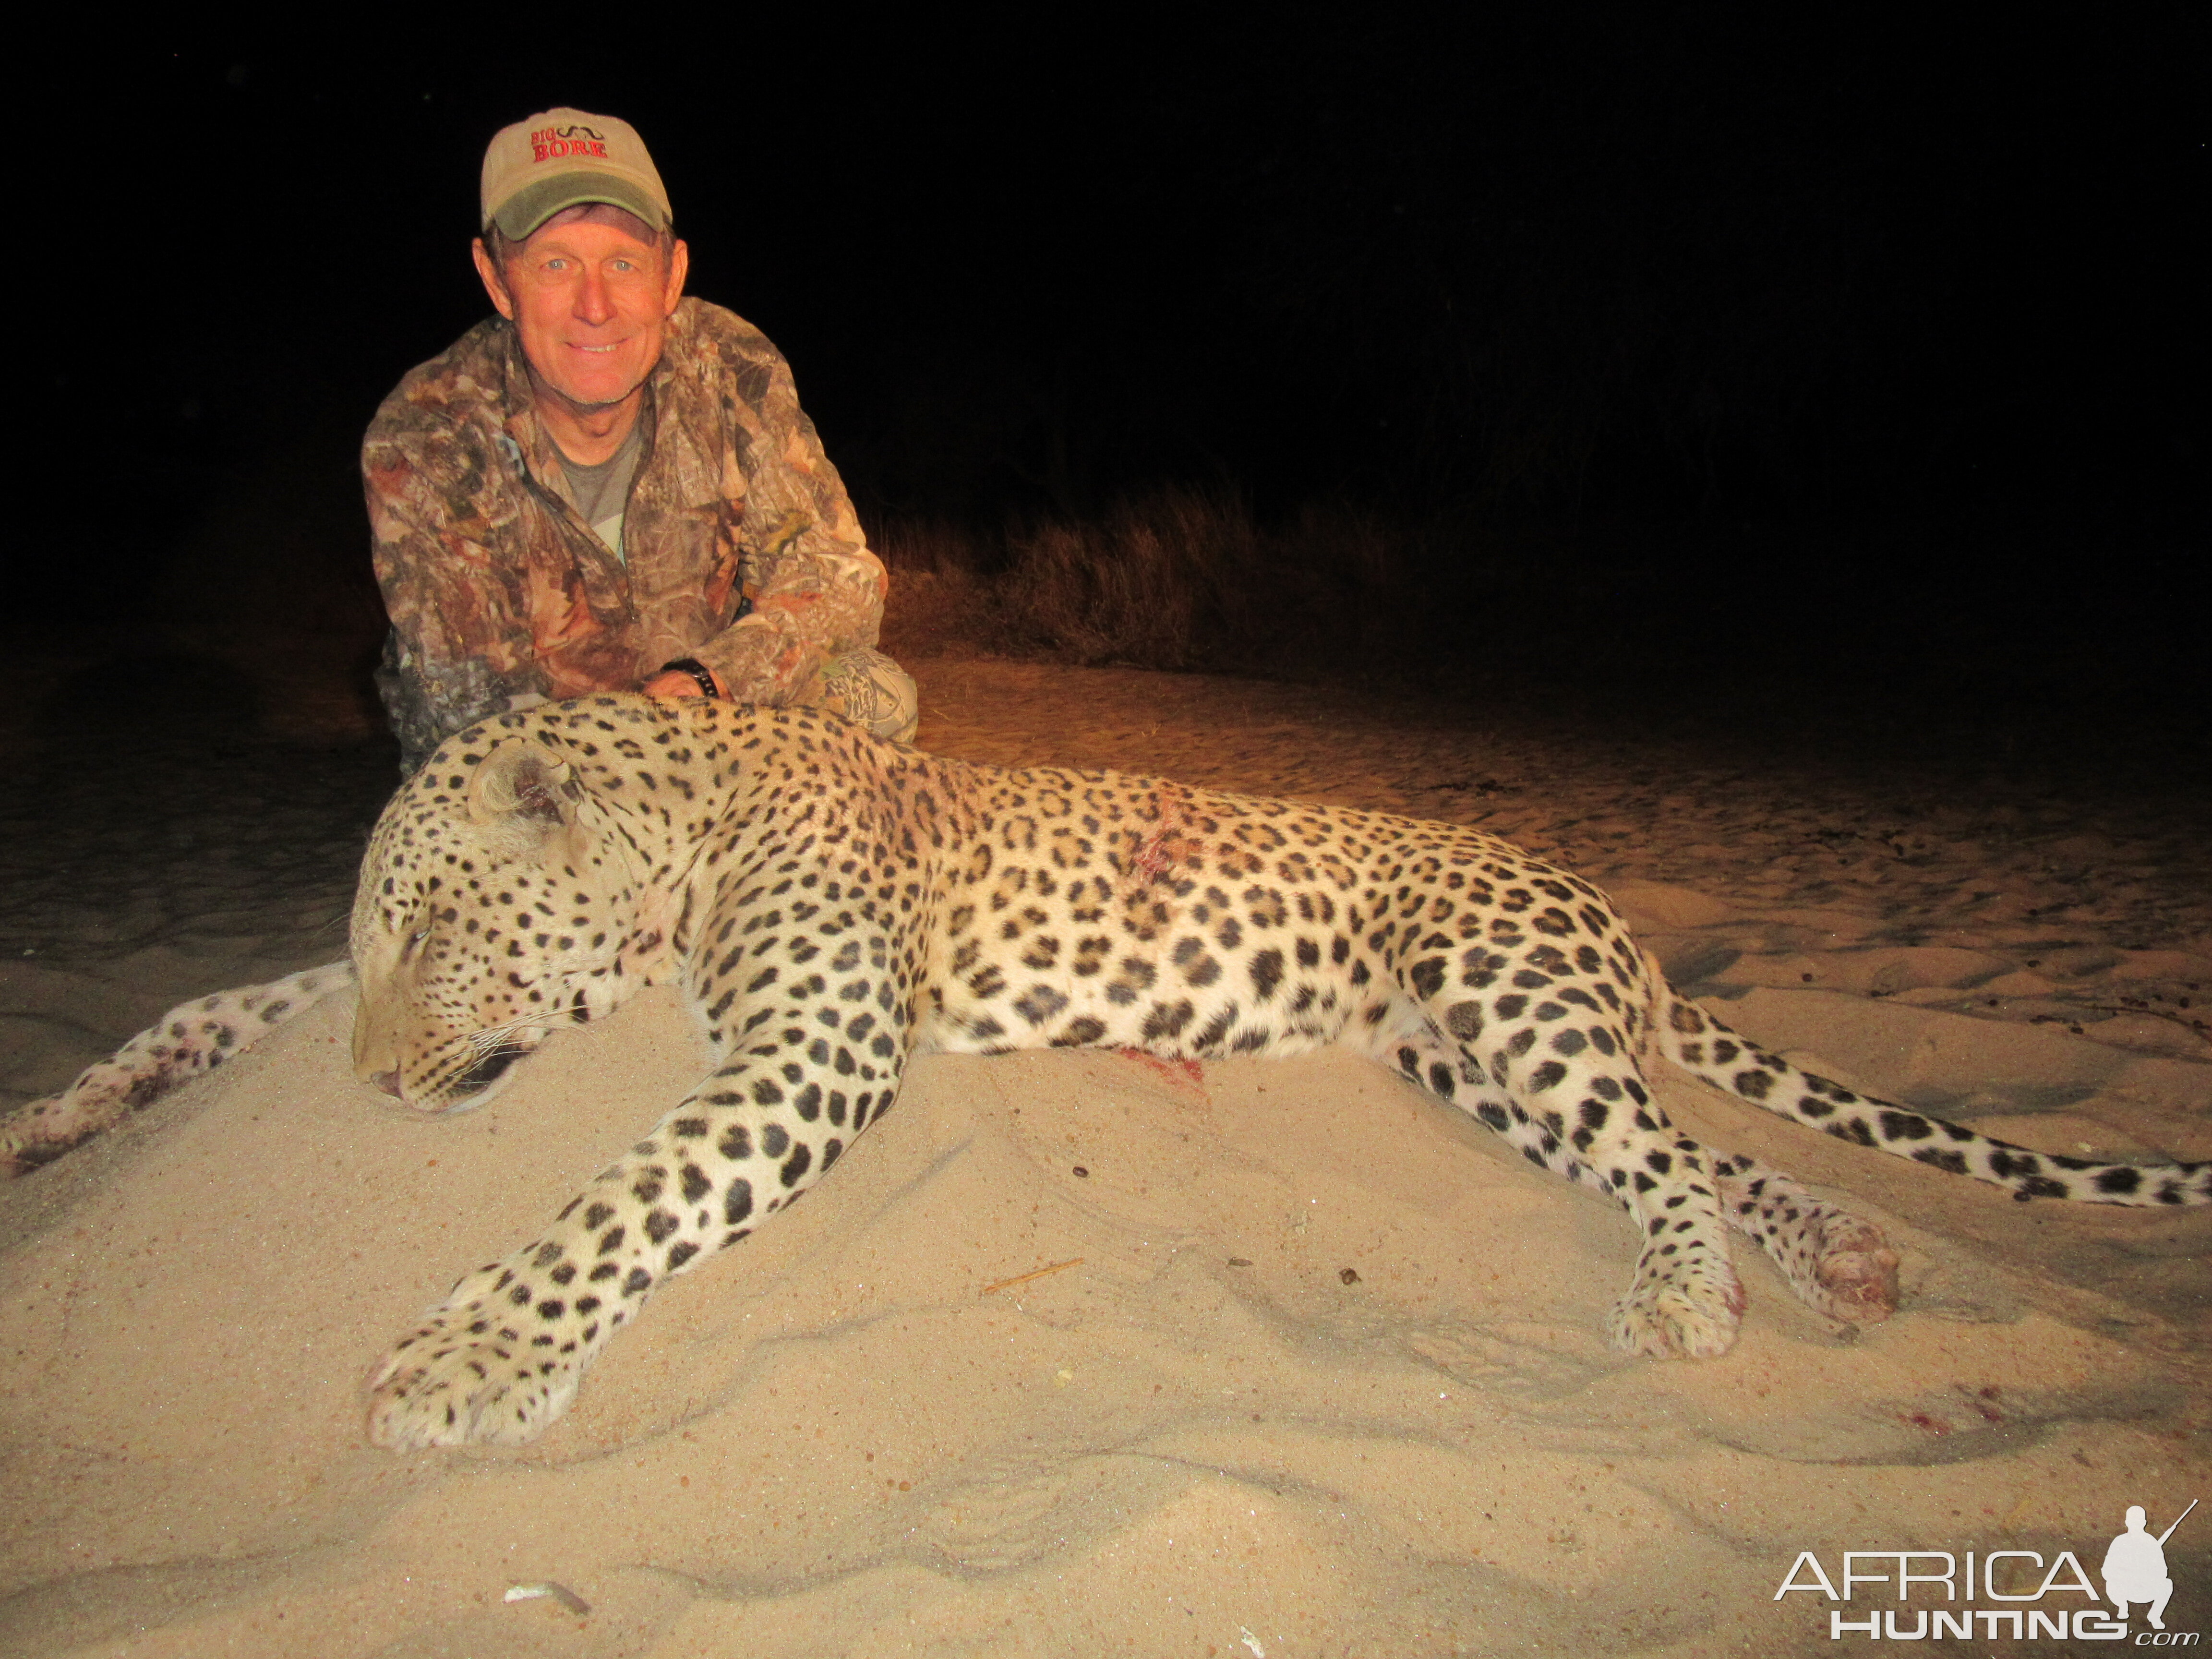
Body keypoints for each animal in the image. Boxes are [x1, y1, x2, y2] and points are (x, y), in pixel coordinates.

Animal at [9, 694, 2203, 1451]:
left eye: (444, 923)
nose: (380, 1101)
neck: (689, 829)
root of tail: (1617, 919)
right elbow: (247, 998)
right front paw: (75, 1102)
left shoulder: (813, 1052)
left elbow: (619, 1197)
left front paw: (471, 1357)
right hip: (1471, 1066)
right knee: (1686, 1139)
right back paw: (1838, 1253)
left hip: (1498, 995)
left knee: (1666, 1161)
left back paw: (1694, 1296)